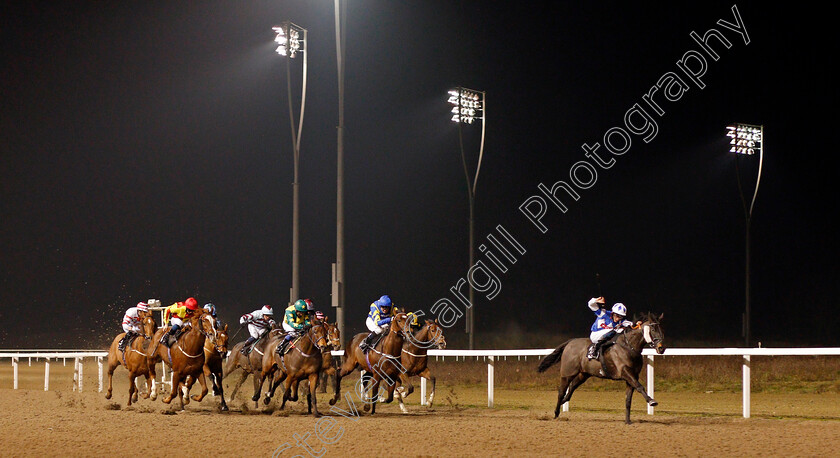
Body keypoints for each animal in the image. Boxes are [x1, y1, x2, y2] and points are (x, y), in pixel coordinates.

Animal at [540, 314, 668, 424]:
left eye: (661, 329)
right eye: (653, 329)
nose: (661, 348)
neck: (628, 347)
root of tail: (570, 342)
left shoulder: (632, 377)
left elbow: (628, 399)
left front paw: (627, 421)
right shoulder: (625, 372)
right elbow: (640, 387)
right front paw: (652, 401)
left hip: (584, 374)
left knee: (572, 387)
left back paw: (563, 402)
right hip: (567, 373)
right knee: (561, 391)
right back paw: (556, 413)